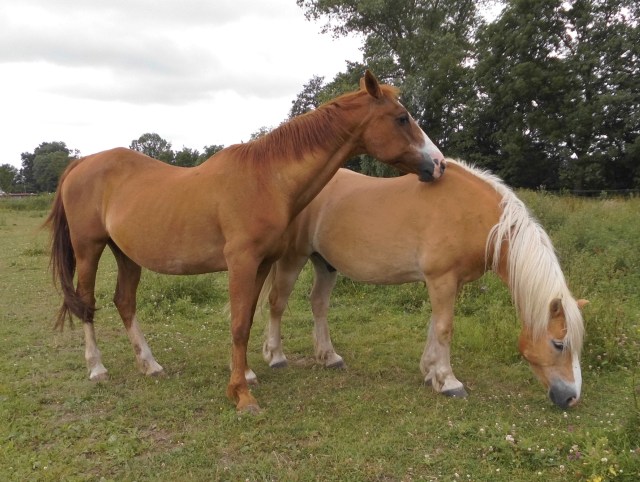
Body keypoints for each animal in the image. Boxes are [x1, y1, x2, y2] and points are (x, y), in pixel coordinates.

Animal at [45, 71, 446, 413]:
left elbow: (249, 317)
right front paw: (241, 393)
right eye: (402, 118)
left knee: (124, 303)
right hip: (89, 249)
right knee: (87, 304)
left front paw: (248, 374)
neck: (267, 180)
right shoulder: (242, 261)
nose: (439, 164)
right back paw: (97, 368)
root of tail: (81, 164)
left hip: (127, 254)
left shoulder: (263, 263)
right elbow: (238, 324)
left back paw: (150, 364)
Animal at [262, 161, 588, 409]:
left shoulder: (448, 282)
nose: (571, 398)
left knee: (318, 303)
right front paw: (448, 381)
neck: (471, 214)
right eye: (559, 343)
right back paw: (275, 355)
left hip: (325, 263)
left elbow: (435, 325)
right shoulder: (441, 278)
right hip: (293, 257)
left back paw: (329, 357)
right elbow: (444, 328)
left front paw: (430, 372)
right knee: (277, 302)